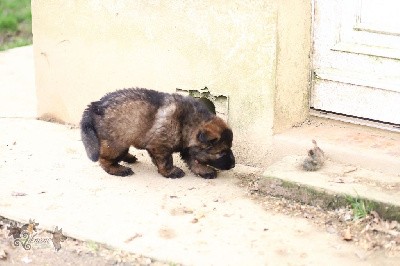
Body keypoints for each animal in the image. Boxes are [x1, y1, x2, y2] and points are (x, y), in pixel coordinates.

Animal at [80, 89, 234, 179]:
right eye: (221, 152)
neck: (187, 123)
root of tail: (94, 106)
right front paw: (171, 172)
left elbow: (193, 161)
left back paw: (129, 158)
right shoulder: (160, 146)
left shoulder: (187, 148)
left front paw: (204, 170)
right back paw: (118, 169)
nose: (233, 165)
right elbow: (166, 161)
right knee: (104, 159)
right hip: (117, 142)